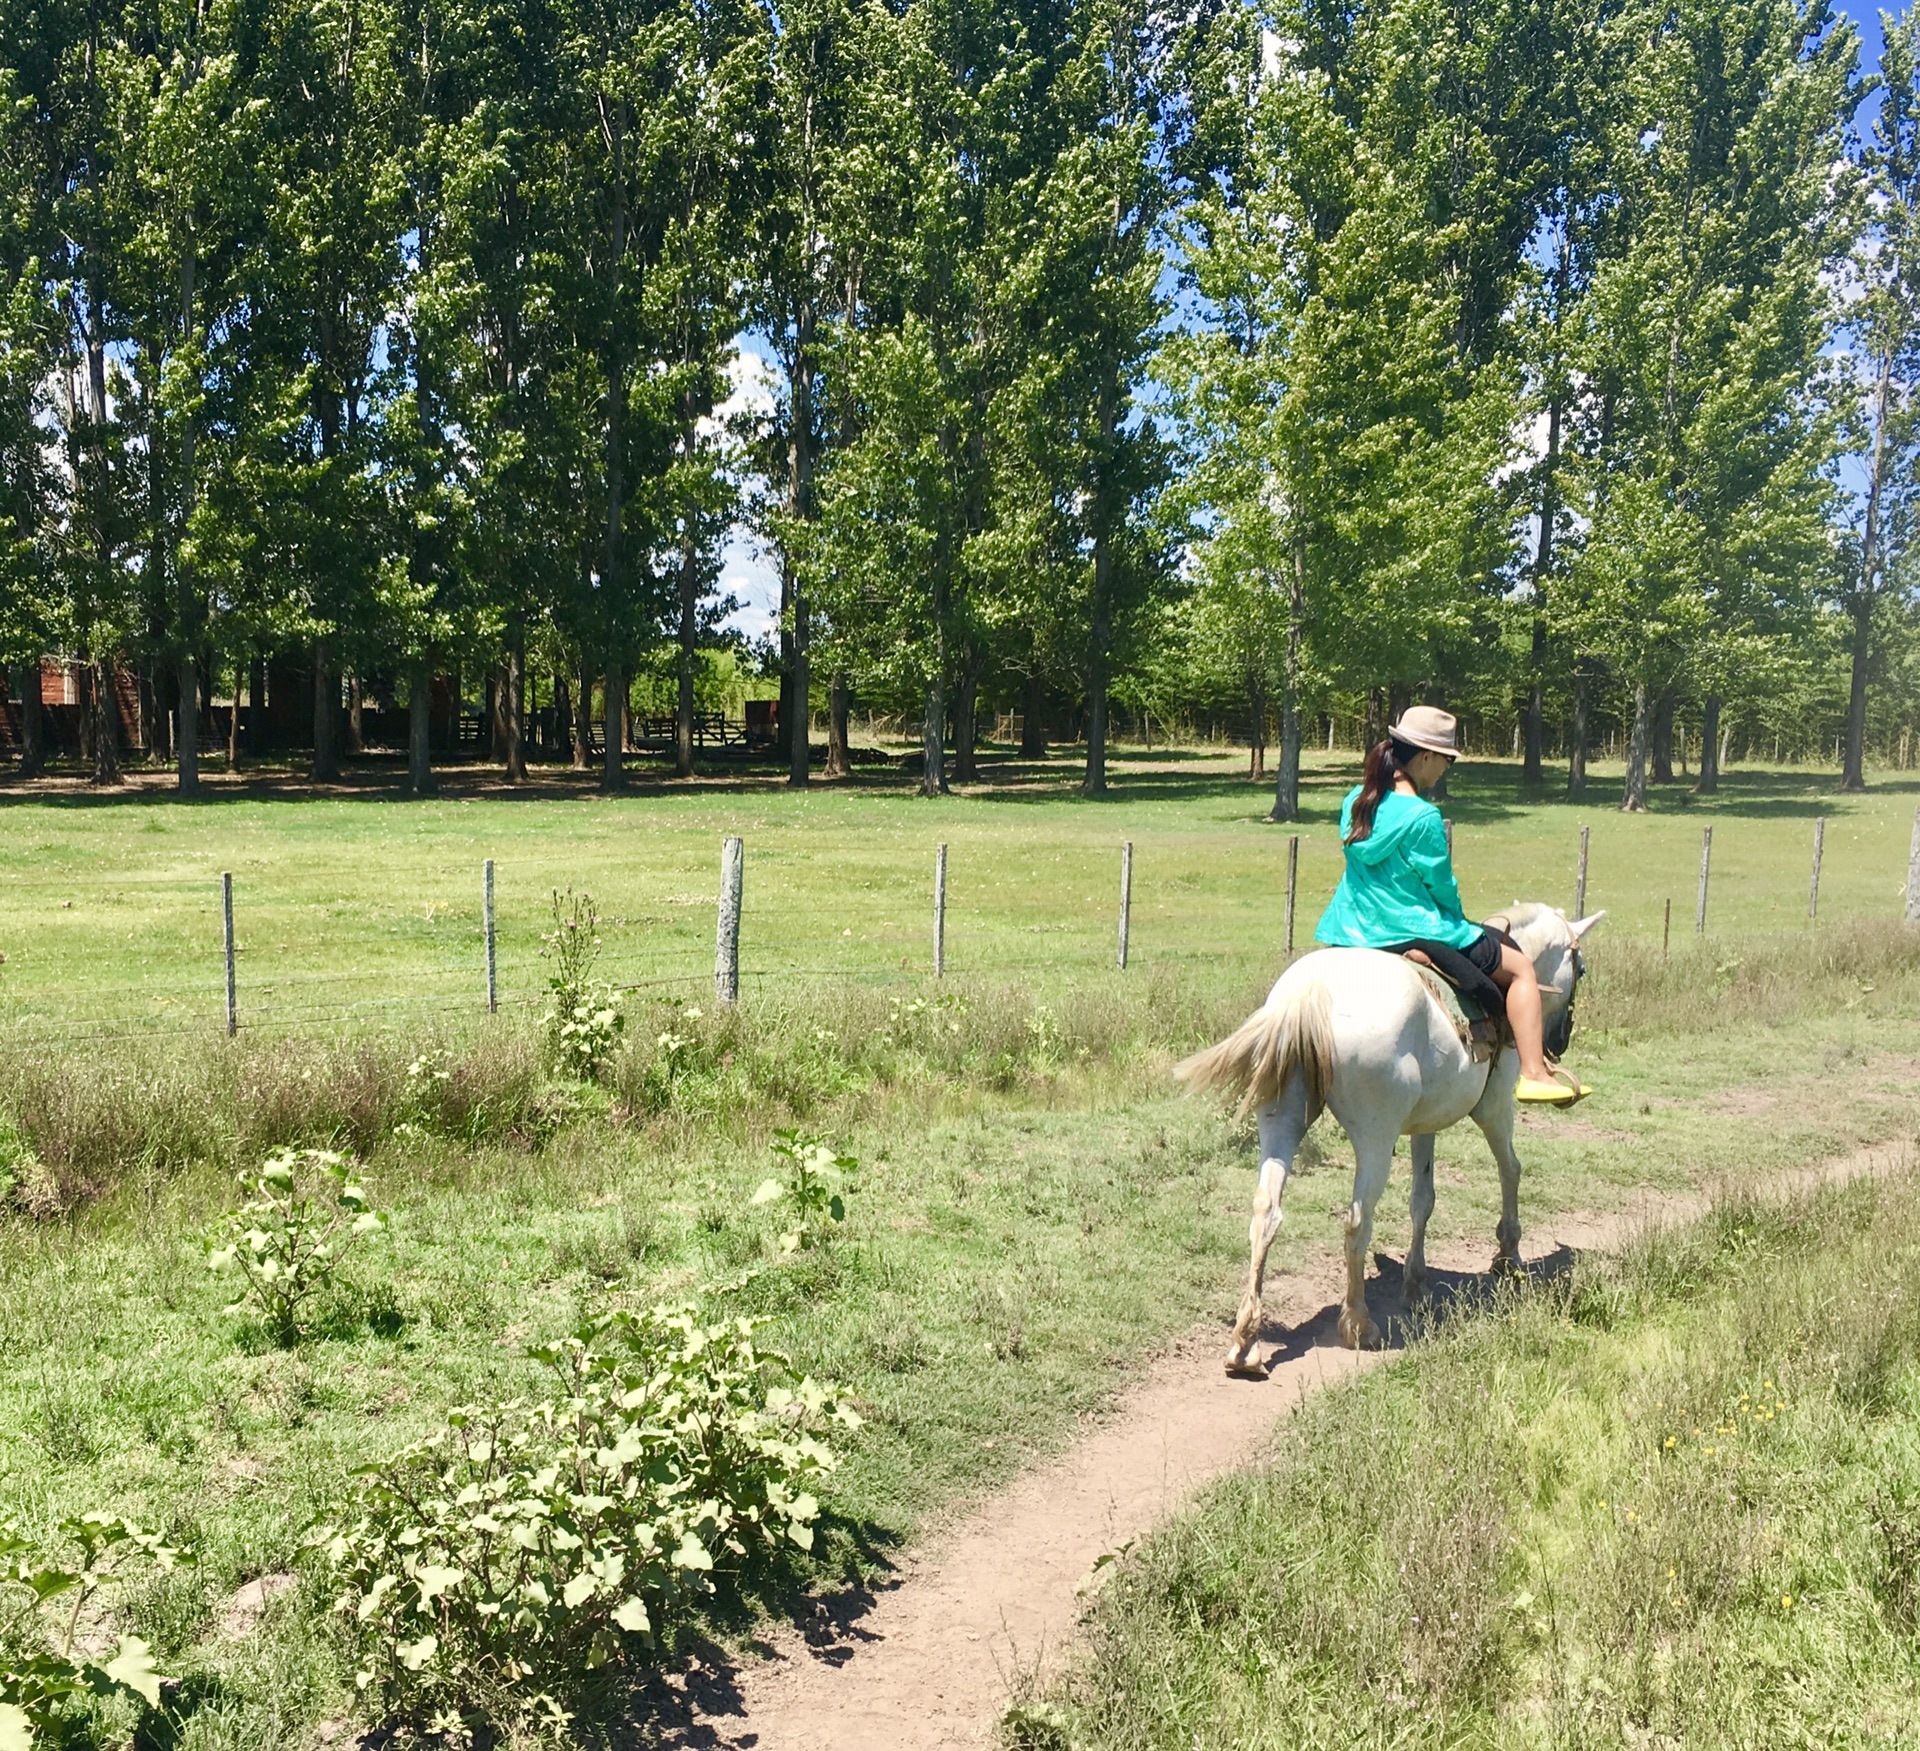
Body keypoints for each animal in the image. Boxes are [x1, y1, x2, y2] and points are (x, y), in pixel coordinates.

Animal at [1175, 902, 1597, 1367]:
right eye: (1580, 968)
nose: (1559, 1041)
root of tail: (1309, 993)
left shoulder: (1425, 1124)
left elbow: (1423, 1200)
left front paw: (1415, 1283)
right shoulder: (1494, 1106)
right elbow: (1510, 1169)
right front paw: (1508, 1254)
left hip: (1281, 1121)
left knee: (1266, 1211)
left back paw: (1245, 1340)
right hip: (1375, 1139)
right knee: (1357, 1221)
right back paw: (1359, 1324)